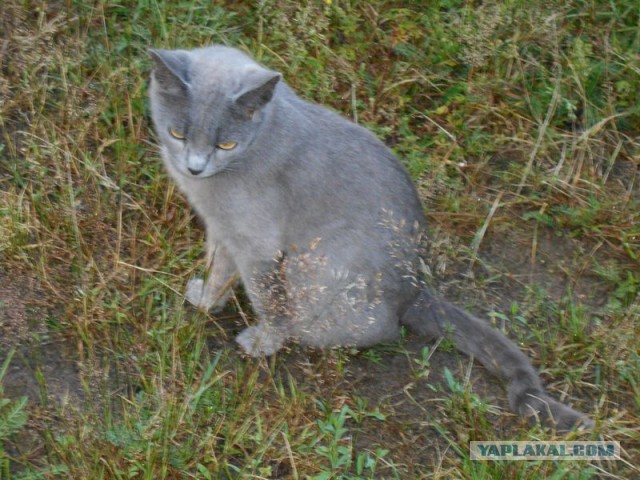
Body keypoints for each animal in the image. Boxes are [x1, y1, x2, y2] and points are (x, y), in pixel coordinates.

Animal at [148, 45, 592, 430]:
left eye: (226, 143)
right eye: (177, 133)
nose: (194, 167)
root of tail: (418, 291)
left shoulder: (255, 242)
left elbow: (265, 297)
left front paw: (261, 341)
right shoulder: (220, 228)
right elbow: (218, 267)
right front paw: (207, 300)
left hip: (317, 270)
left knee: (378, 329)